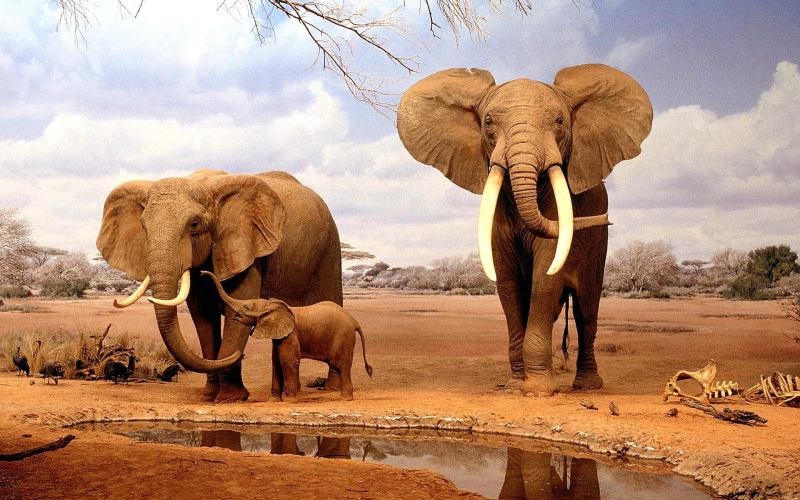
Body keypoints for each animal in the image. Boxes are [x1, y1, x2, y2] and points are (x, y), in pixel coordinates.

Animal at [97, 169, 343, 402]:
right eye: (143, 226)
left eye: (194, 224)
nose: (240, 355)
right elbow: (202, 317)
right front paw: (208, 396)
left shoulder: (245, 248)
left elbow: (236, 310)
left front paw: (229, 399)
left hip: (330, 248)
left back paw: (332, 389)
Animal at [202, 270, 373, 401]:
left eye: (246, 307)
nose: (202, 273)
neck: (269, 305)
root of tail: (354, 321)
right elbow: (276, 361)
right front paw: (274, 401)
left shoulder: (291, 335)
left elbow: (288, 361)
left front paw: (290, 400)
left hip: (343, 337)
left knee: (341, 366)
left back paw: (345, 399)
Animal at [397, 64, 652, 396]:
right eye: (488, 122)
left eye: (559, 121)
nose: (607, 218)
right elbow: (508, 284)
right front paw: (514, 386)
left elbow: (545, 278)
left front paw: (537, 391)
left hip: (599, 246)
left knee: (586, 311)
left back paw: (587, 386)